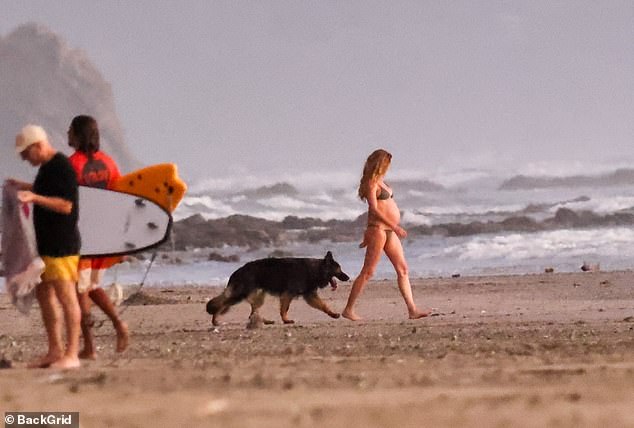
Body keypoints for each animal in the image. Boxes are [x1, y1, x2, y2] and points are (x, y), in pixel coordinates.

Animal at [206, 251, 346, 324]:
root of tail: (238, 270)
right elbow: (285, 308)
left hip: (257, 295)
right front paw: (286, 320)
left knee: (252, 312)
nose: (348, 277)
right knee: (224, 304)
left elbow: (323, 305)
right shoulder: (288, 294)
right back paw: (215, 319)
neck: (315, 270)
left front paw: (332, 314)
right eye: (338, 269)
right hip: (242, 294)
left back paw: (264, 321)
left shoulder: (310, 295)